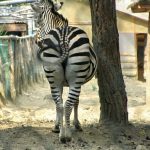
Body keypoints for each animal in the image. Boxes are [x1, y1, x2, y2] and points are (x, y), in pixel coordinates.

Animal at [31, 0, 98, 142]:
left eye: (37, 23)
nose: (36, 41)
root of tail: (63, 35)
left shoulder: (59, 82)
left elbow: (62, 101)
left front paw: (57, 126)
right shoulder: (78, 82)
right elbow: (76, 102)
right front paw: (76, 124)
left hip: (54, 77)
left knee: (59, 103)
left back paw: (62, 134)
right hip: (76, 78)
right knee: (67, 103)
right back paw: (67, 134)